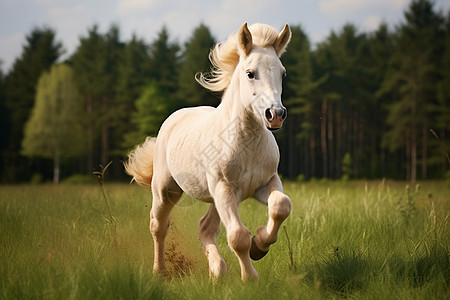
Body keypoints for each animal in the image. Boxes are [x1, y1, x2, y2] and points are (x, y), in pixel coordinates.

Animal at [124, 22, 292, 282]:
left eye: (282, 73)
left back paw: (217, 269)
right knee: (158, 225)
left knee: (205, 227)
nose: (275, 115)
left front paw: (260, 245)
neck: (247, 144)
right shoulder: (224, 188)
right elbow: (238, 236)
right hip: (167, 191)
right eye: (250, 73)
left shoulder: (265, 183)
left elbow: (281, 205)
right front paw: (250, 277)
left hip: (218, 198)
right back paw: (160, 271)